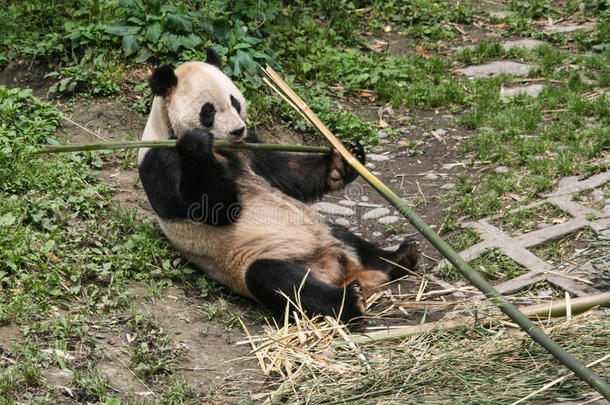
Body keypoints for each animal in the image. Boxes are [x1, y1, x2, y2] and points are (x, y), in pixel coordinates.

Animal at [138, 47, 418, 322]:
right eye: (208, 111)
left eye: (234, 101)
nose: (237, 130)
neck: (224, 149)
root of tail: (343, 271)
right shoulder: (161, 159)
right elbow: (212, 209)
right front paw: (197, 144)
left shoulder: (250, 147)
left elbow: (287, 174)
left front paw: (345, 158)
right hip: (257, 258)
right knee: (280, 281)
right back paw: (350, 300)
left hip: (322, 232)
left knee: (346, 236)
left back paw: (400, 257)